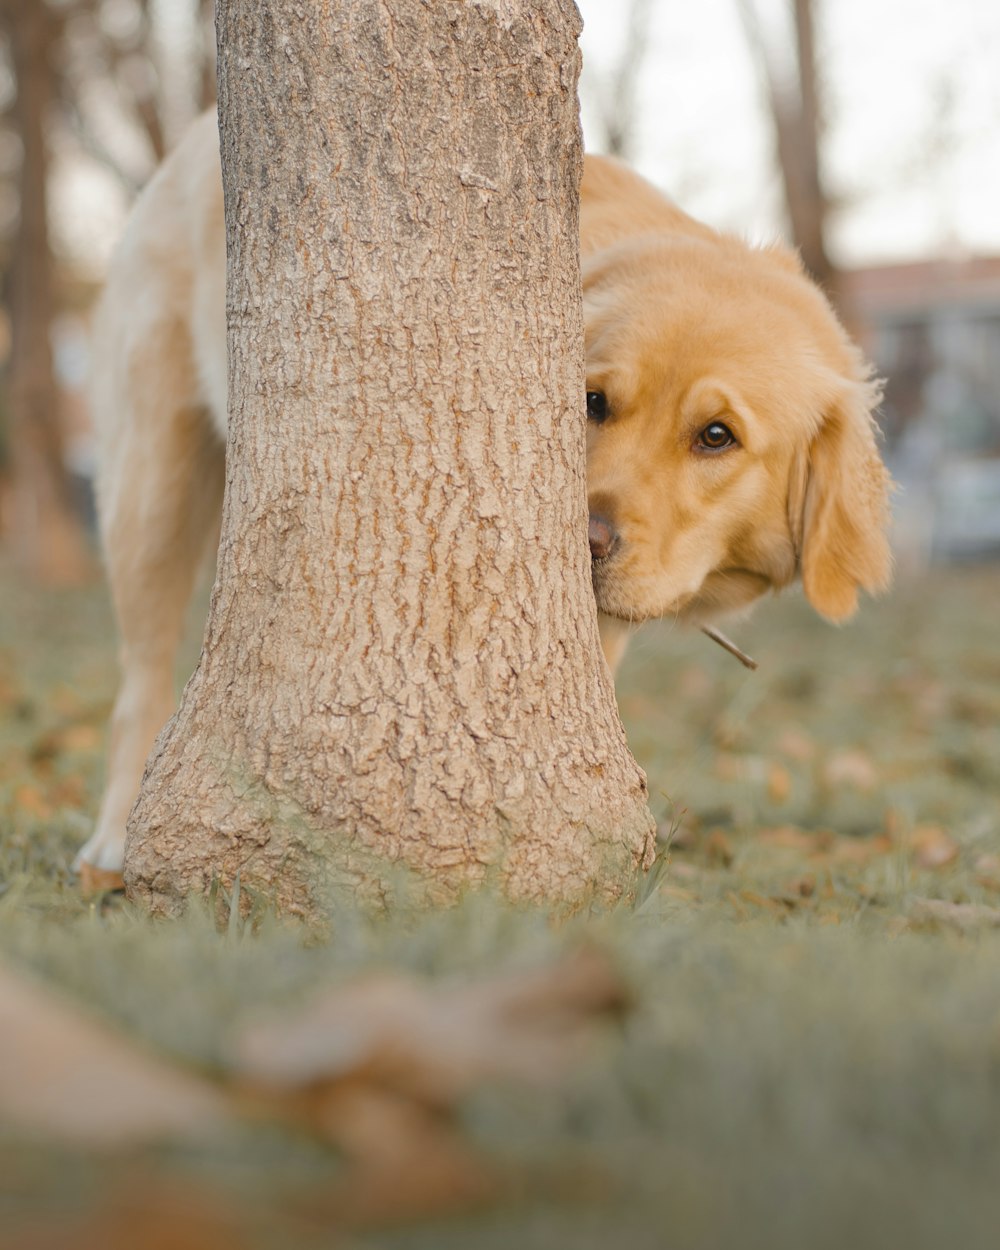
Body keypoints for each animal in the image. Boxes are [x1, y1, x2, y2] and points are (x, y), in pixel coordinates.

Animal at [76, 117, 890, 880]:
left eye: (717, 436)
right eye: (591, 402)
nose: (585, 542)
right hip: (152, 489)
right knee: (137, 684)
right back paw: (115, 838)